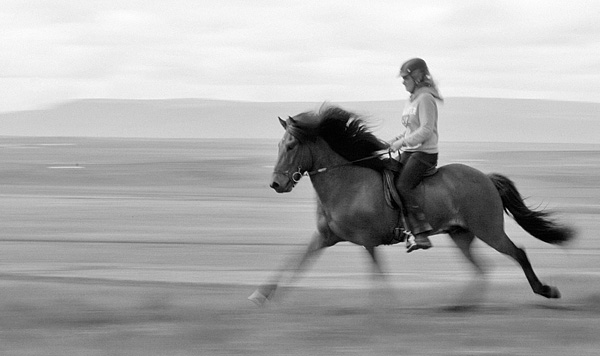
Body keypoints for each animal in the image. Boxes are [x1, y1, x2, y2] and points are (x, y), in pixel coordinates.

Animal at [247, 105, 572, 306]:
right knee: (482, 269)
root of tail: (487, 178)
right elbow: (294, 261)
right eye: (279, 146)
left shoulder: (367, 242)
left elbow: (378, 275)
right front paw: (261, 296)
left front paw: (388, 308)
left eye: (291, 146)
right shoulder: (325, 238)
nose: (276, 184)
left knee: (518, 253)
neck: (346, 182)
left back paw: (545, 290)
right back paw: (458, 307)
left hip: (489, 230)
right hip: (461, 234)